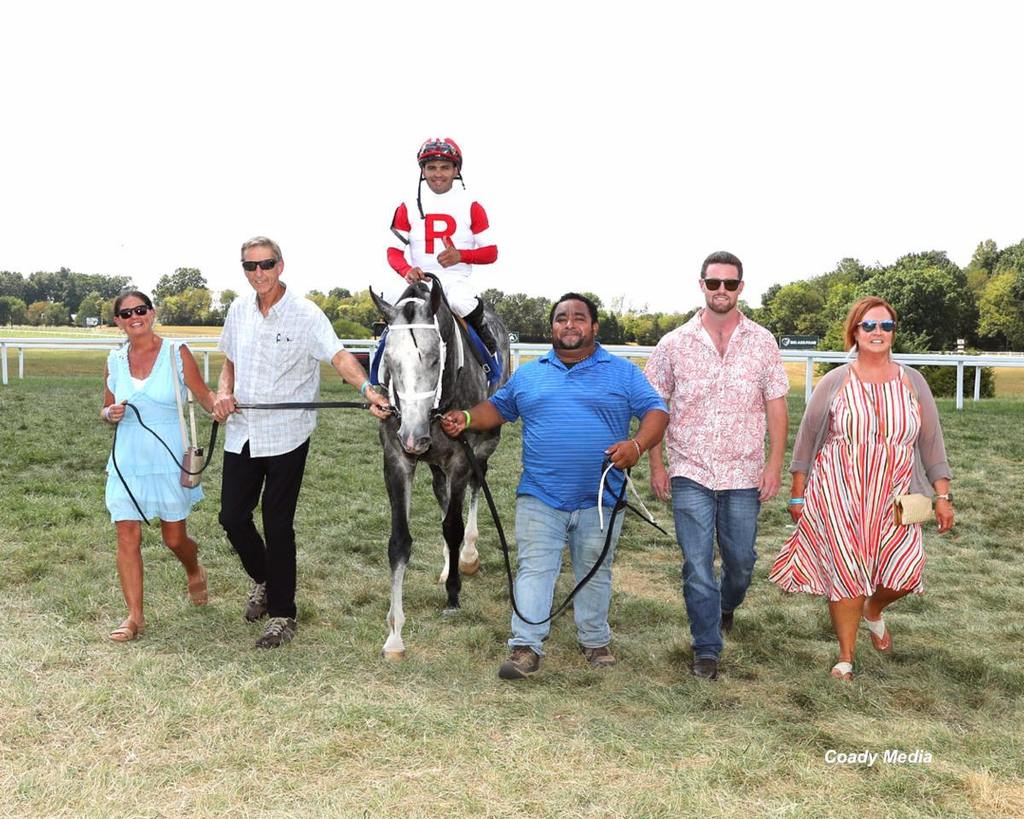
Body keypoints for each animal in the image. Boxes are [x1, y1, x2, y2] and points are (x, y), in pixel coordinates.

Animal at [370, 282, 509, 659]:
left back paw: (468, 557)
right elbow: (400, 541)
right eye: (389, 360)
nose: (413, 435)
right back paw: (450, 564)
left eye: (434, 358)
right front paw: (394, 634)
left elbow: (453, 528)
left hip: (483, 447)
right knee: (442, 495)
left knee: (475, 488)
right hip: (434, 463)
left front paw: (453, 594)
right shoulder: (397, 459)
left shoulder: (461, 458)